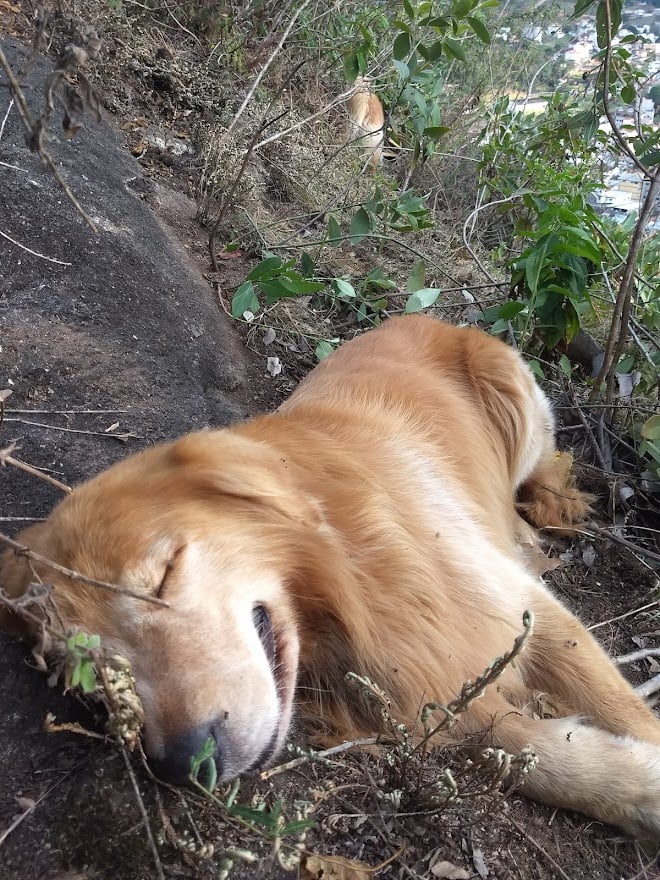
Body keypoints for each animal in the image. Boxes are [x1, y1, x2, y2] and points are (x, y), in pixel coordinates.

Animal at [1, 312, 660, 836]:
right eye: (94, 675)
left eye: (164, 576)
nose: (184, 765)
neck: (345, 575)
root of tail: (417, 316)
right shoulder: (433, 686)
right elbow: (538, 754)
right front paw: (634, 788)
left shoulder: (521, 608)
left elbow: (621, 708)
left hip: (520, 406)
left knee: (544, 467)